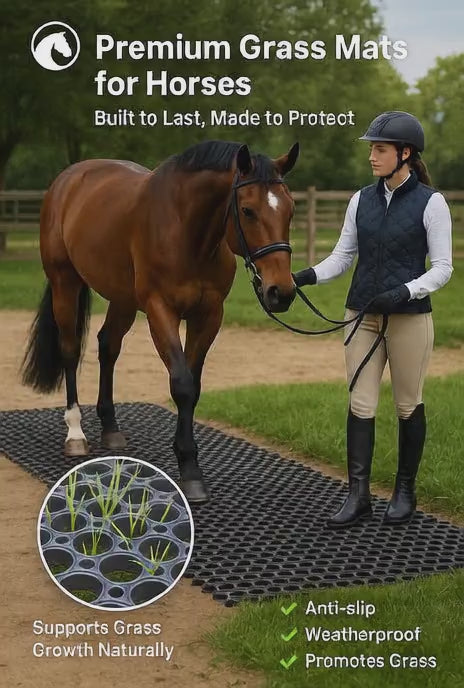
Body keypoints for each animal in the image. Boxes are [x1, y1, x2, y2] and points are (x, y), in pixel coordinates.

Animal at [21, 140, 299, 503]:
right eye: (248, 210)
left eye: (290, 210)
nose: (281, 292)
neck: (187, 231)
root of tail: (68, 179)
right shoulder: (159, 310)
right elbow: (181, 383)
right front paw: (189, 470)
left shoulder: (209, 315)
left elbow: (193, 385)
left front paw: (189, 463)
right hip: (64, 283)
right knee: (69, 351)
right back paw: (75, 434)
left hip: (122, 298)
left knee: (108, 346)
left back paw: (110, 428)